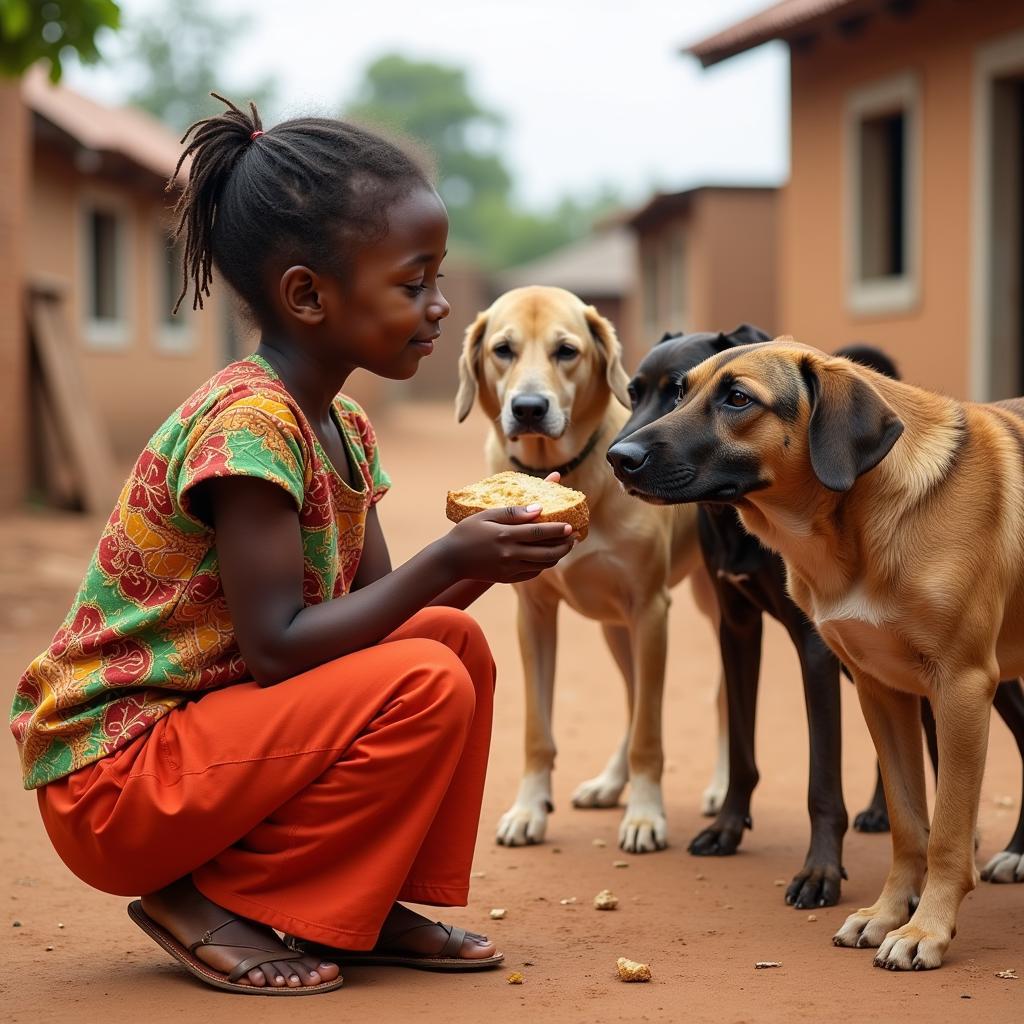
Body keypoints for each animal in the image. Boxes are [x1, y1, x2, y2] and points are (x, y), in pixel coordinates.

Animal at [456, 284, 712, 851]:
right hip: (617, 629)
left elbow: (649, 734)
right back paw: (610, 783)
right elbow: (538, 731)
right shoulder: (533, 615)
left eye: (566, 351)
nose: (529, 408)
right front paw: (529, 809)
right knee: (635, 697)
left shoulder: (651, 610)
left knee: (715, 697)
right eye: (502, 350)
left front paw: (645, 815)